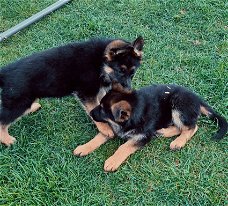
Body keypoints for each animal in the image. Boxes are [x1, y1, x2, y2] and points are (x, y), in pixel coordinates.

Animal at [0, 37, 143, 146]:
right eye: (120, 71)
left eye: (132, 73)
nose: (129, 91)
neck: (100, 63)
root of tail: (5, 72)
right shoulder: (87, 93)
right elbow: (93, 108)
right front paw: (105, 128)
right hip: (18, 102)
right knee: (3, 119)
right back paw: (7, 140)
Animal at [90, 83, 227, 171]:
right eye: (100, 105)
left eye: (102, 110)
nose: (90, 113)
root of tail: (197, 98)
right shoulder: (113, 128)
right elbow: (100, 136)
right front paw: (85, 148)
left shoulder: (143, 136)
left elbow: (124, 147)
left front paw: (113, 161)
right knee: (180, 127)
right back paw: (164, 132)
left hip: (177, 105)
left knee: (192, 127)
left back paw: (178, 142)